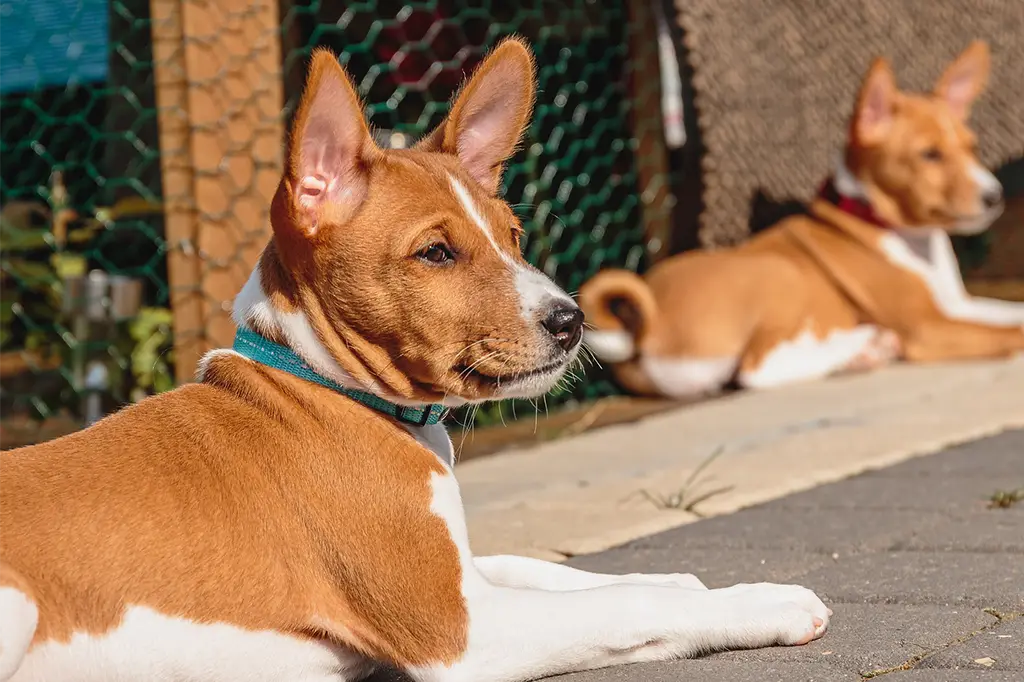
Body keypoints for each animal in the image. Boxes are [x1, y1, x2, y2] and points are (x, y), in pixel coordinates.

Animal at [0, 38, 831, 679]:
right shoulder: (459, 633)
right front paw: (759, 600)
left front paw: (689, 579)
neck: (326, 388)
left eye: (512, 236)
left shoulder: (461, 576)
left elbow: (551, 569)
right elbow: (628, 604)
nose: (572, 321)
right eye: (436, 253)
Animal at [581, 41, 1019, 399]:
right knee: (756, 370)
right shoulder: (926, 326)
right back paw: (864, 345)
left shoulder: (955, 305)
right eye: (929, 155)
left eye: (972, 148)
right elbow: (1013, 332)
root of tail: (646, 325)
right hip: (780, 272)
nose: (994, 196)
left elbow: (1012, 310)